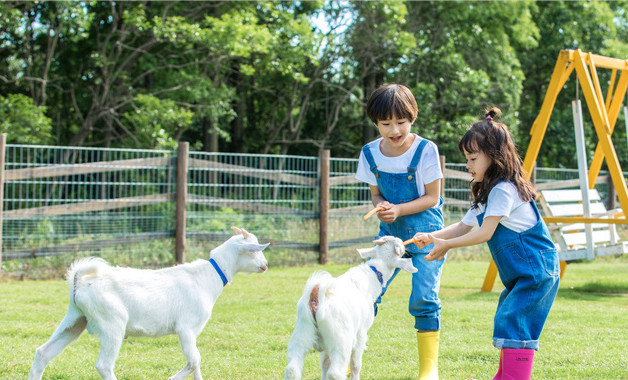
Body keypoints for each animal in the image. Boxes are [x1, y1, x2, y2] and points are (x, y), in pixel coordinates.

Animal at [28, 227, 268, 378]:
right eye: (255, 249)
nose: (265, 265)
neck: (208, 276)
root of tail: (79, 281)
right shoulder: (186, 328)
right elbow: (194, 361)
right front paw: (170, 378)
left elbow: (196, 364)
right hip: (112, 324)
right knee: (104, 365)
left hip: (75, 319)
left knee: (43, 353)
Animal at [284, 236, 418, 378]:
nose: (404, 243)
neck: (373, 274)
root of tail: (317, 298)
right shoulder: (361, 332)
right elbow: (355, 365)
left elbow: (325, 364)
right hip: (341, 339)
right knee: (335, 372)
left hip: (302, 331)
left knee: (292, 368)